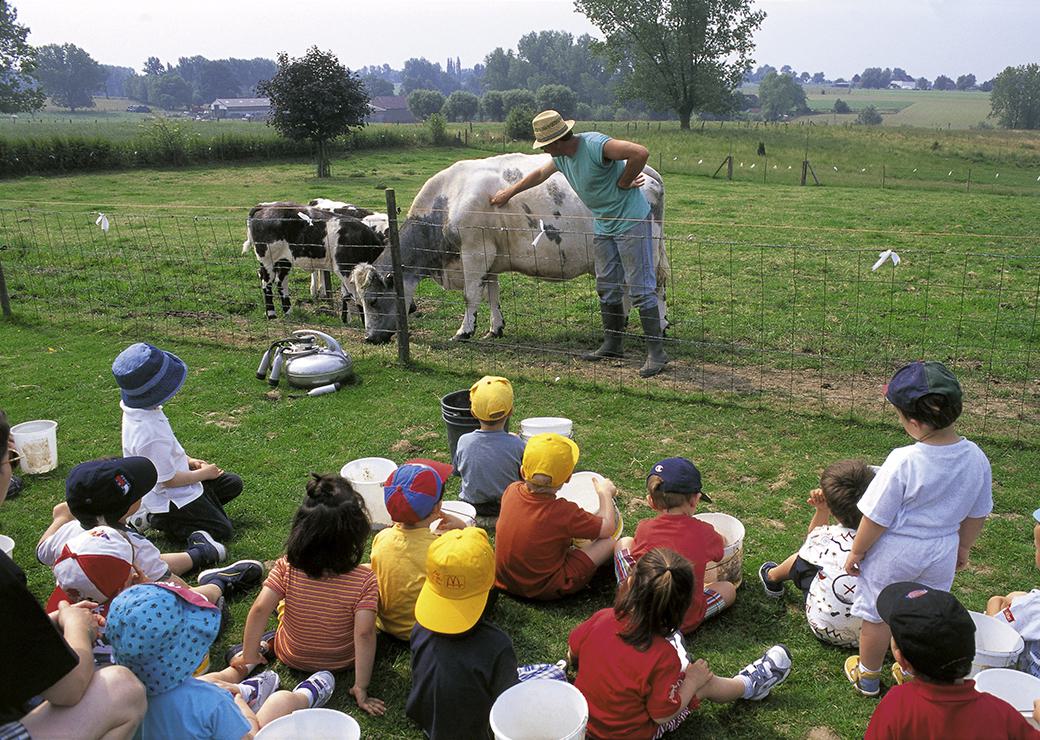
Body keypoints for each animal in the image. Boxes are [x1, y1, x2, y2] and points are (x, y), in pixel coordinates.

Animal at [243, 202, 386, 320]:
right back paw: (271, 314)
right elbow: (358, 298)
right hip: (267, 259)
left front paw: (346, 319)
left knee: (281, 282)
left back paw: (288, 312)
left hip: (284, 259)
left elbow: (347, 295)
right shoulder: (345, 268)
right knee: (266, 282)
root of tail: (265, 206)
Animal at [349, 154, 669, 345]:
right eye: (358, 303)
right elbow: (492, 294)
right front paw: (495, 328)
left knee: (655, 286)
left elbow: (470, 295)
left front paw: (464, 331)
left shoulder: (475, 252)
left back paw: (661, 326)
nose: (369, 338)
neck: (448, 202)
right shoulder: (490, 259)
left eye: (374, 301)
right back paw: (621, 325)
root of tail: (649, 173)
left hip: (644, 250)